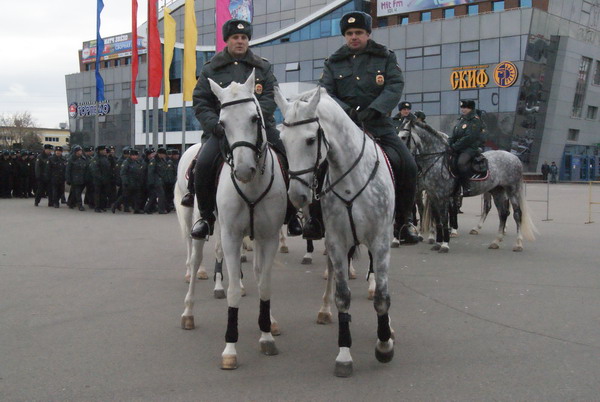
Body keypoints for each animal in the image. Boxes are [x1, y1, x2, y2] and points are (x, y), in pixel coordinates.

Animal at [276, 86, 398, 378]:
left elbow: (382, 296)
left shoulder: (380, 241)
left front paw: (384, 344)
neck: (351, 178)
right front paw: (344, 354)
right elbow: (343, 296)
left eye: (311, 139)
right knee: (332, 272)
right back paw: (324, 309)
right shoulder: (336, 242)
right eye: (283, 140)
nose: (297, 196)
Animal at [400, 118, 536, 253]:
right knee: (502, 213)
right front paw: (437, 242)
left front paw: (444, 244)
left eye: (404, 137)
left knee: (517, 214)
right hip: (497, 191)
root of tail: (514, 157)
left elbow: (444, 219)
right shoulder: (433, 196)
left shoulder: (443, 196)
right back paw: (496, 241)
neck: (437, 161)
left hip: (512, 190)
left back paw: (518, 243)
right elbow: (437, 219)